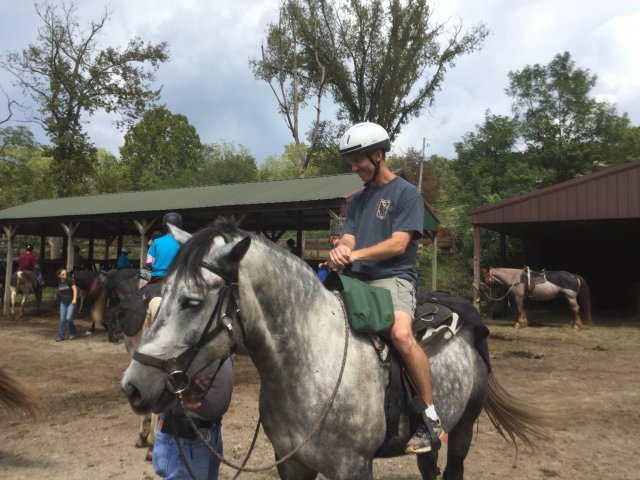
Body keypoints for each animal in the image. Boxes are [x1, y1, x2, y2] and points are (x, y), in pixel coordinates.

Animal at [121, 222, 544, 480]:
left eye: (191, 301)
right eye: (162, 293)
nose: (134, 386)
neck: (309, 365)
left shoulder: (352, 468)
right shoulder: (292, 465)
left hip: (463, 428)